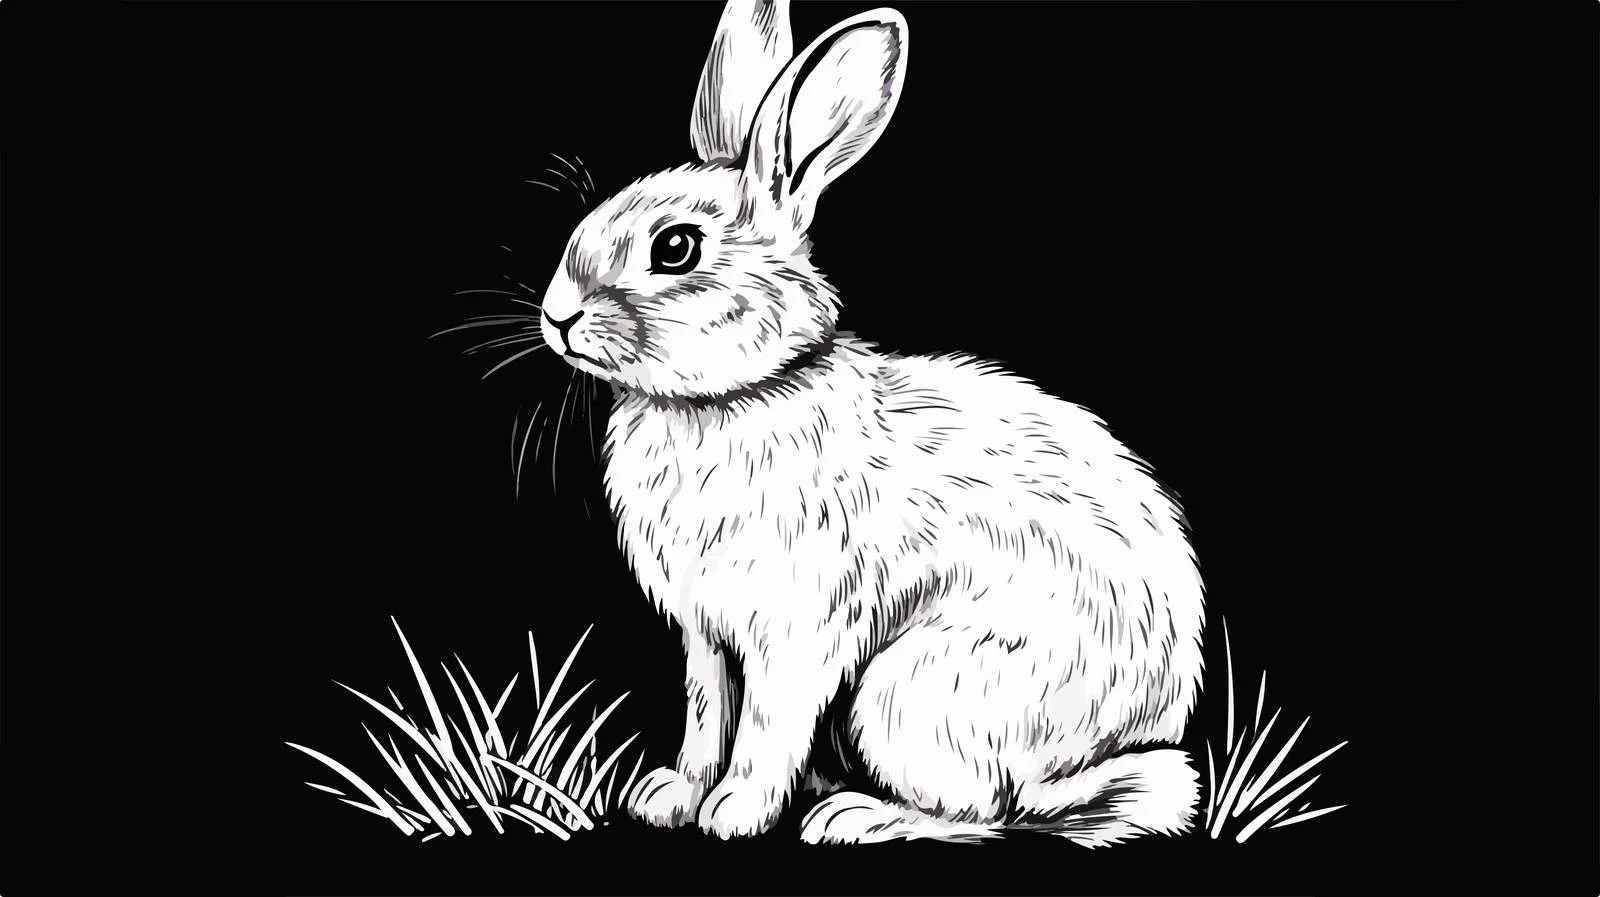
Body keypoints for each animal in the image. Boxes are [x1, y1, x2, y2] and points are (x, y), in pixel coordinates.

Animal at [534, 0, 1206, 845]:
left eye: (676, 247)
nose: (557, 316)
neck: (734, 395)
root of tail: (1099, 760)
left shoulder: (793, 628)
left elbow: (766, 726)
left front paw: (734, 813)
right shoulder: (705, 635)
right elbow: (706, 714)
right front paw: (670, 798)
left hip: (911, 694)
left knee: (989, 810)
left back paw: (850, 815)